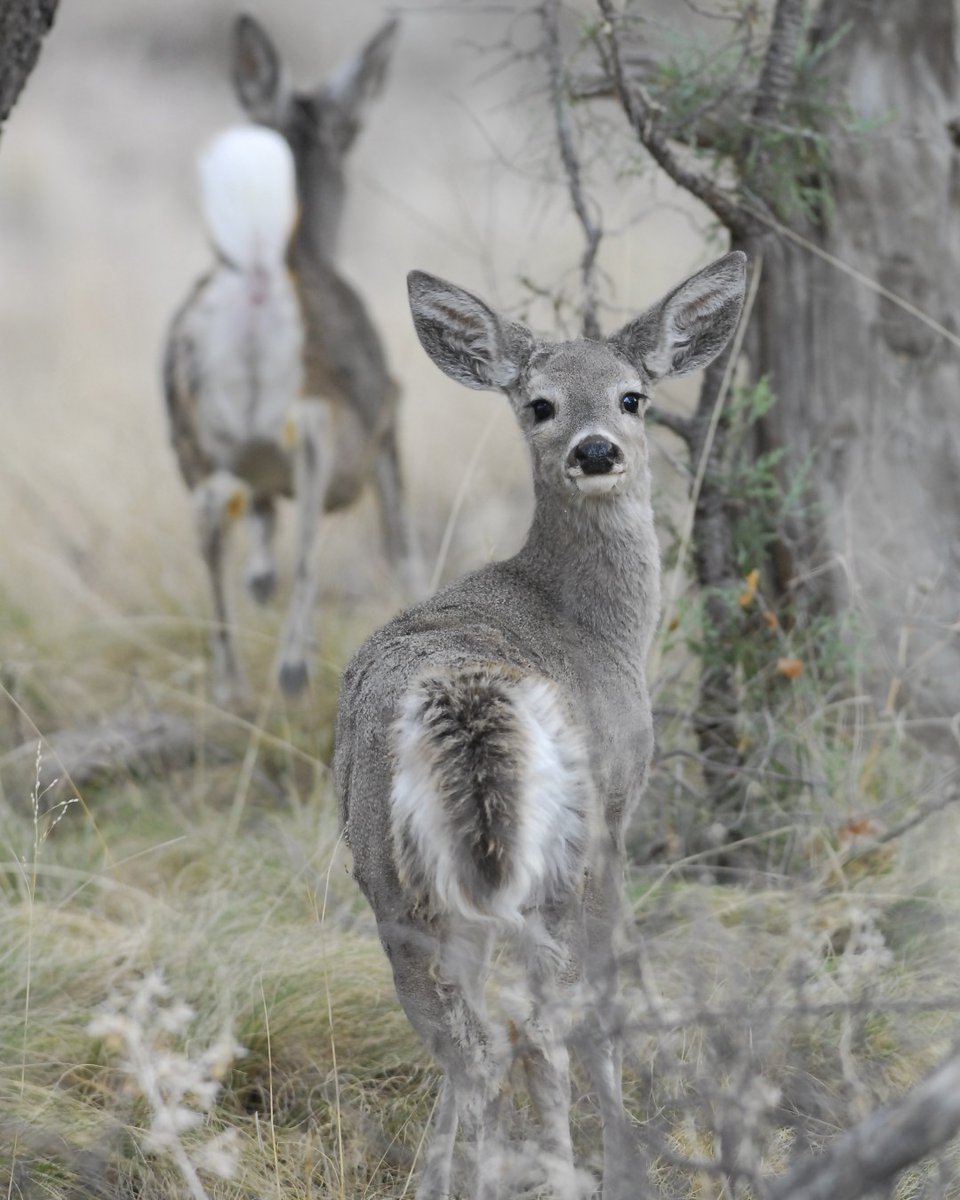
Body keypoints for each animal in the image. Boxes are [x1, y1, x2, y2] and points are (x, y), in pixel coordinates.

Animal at [165, 16, 412, 700]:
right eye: (348, 130)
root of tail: (257, 273)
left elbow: (261, 525)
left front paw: (259, 581)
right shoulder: (389, 422)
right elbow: (399, 545)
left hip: (188, 426)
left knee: (210, 511)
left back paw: (230, 682)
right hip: (322, 414)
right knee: (306, 477)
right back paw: (291, 668)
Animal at [338, 248, 748, 1195]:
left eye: (631, 396)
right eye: (540, 404)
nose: (595, 451)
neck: (591, 623)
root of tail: (468, 705)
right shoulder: (621, 806)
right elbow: (605, 997)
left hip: (392, 881)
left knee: (471, 1042)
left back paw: (453, 1178)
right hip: (564, 851)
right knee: (541, 1027)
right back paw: (573, 1167)